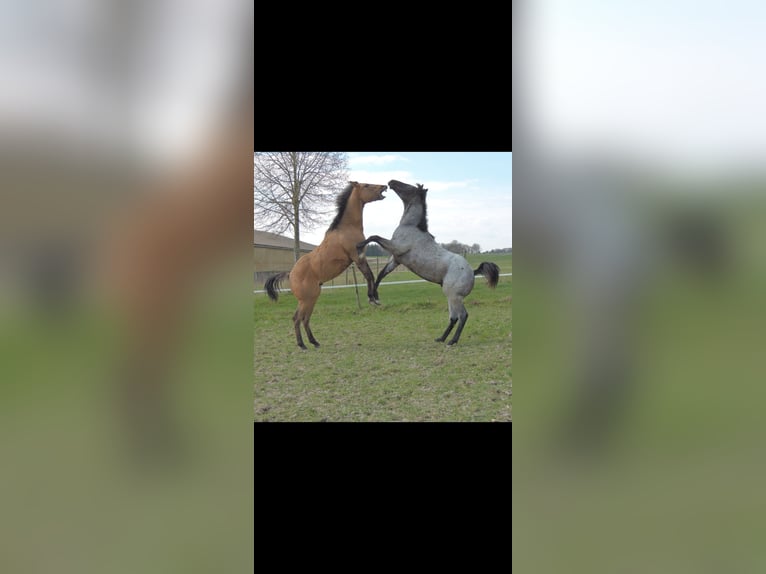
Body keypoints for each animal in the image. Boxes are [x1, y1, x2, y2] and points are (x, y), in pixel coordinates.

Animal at [264, 182, 387, 349]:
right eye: (366, 185)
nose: (384, 186)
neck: (346, 228)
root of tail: (290, 274)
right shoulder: (357, 258)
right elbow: (369, 276)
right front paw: (373, 299)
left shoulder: (361, 257)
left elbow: (372, 276)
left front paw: (375, 297)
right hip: (307, 300)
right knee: (297, 318)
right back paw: (302, 345)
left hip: (312, 298)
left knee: (304, 319)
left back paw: (314, 342)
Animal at [356, 179, 501, 345]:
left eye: (409, 186)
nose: (391, 182)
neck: (411, 227)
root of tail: (473, 271)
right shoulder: (396, 259)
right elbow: (381, 274)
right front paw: (375, 298)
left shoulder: (396, 247)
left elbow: (374, 237)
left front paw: (359, 246)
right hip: (451, 297)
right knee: (453, 318)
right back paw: (441, 338)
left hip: (453, 296)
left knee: (463, 316)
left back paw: (452, 341)